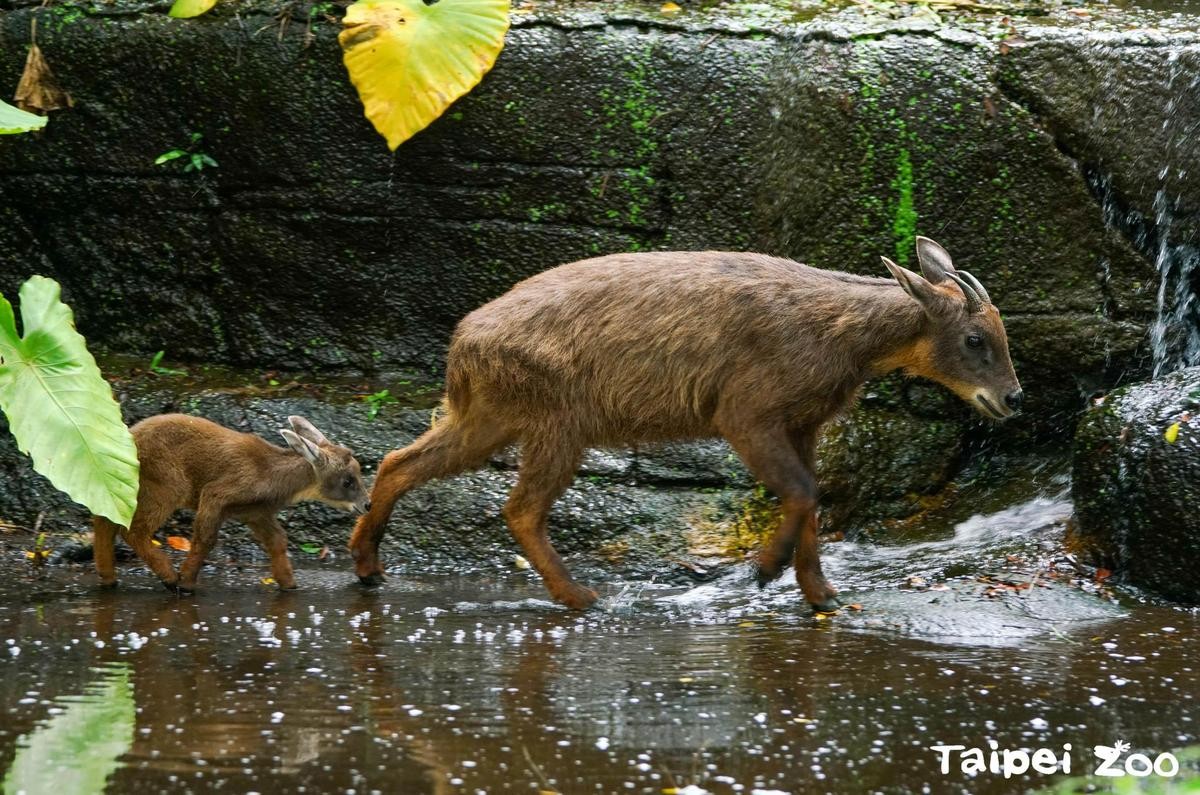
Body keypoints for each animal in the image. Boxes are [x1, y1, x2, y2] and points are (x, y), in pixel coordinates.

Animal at [94, 417, 369, 590]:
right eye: (348, 480)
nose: (367, 505)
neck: (269, 474)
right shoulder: (216, 494)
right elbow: (205, 539)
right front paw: (186, 583)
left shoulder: (255, 512)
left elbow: (278, 541)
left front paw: (289, 584)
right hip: (165, 486)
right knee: (133, 530)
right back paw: (168, 577)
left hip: (125, 487)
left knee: (104, 521)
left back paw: (108, 578)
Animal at [348, 236, 1022, 610]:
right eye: (975, 338)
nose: (1013, 399)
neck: (838, 336)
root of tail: (462, 345)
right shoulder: (744, 412)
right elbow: (803, 492)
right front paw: (765, 571)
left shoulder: (804, 423)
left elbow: (812, 497)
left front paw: (819, 593)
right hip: (556, 425)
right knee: (520, 509)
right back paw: (581, 597)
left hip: (491, 416)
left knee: (398, 461)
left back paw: (368, 567)